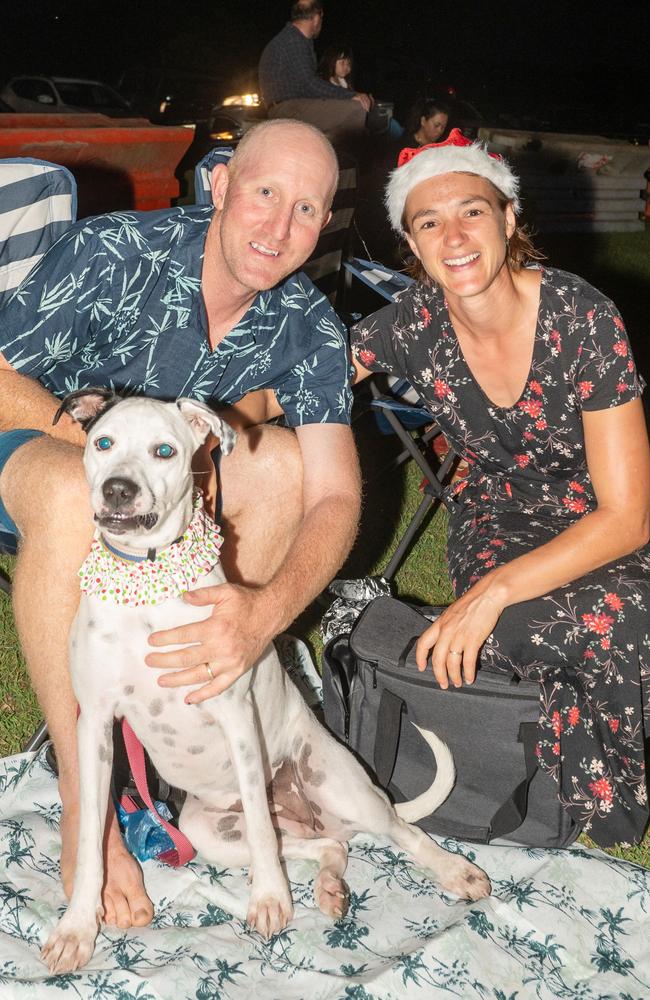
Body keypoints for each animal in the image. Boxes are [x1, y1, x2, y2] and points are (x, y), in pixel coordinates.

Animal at [41, 392, 486, 976]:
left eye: (164, 451)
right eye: (103, 442)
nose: (118, 489)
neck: (146, 586)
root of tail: (311, 815)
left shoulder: (233, 714)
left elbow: (256, 815)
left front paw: (269, 898)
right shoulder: (94, 725)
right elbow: (94, 837)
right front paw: (77, 927)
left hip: (335, 784)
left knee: (395, 830)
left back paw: (454, 872)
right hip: (207, 832)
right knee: (324, 847)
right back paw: (329, 887)